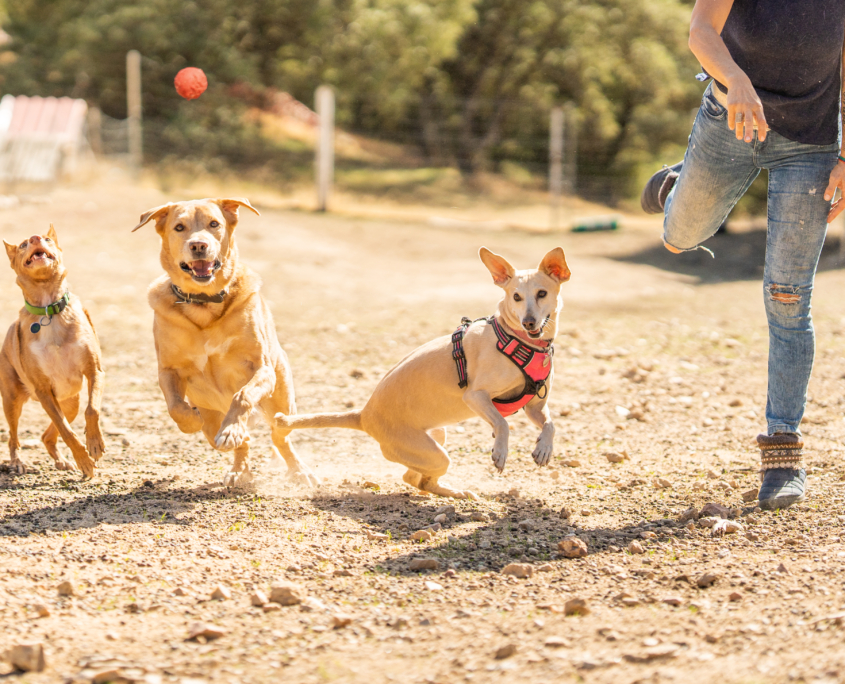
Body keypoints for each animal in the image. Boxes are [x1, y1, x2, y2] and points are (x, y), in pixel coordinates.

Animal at [0, 227, 104, 478]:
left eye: (47, 239)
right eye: (23, 245)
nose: (35, 238)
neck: (50, 309)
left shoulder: (94, 372)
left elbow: (92, 410)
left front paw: (94, 444)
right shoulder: (44, 390)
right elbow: (66, 430)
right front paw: (83, 459)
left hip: (70, 403)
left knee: (47, 436)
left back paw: (62, 461)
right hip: (12, 399)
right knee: (14, 437)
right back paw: (17, 462)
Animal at [132, 196, 316, 486]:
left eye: (214, 224)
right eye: (179, 227)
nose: (198, 245)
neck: (204, 304)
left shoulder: (261, 368)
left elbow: (242, 395)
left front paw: (230, 429)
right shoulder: (168, 370)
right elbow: (175, 406)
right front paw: (191, 421)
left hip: (283, 404)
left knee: (279, 436)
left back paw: (298, 470)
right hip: (214, 420)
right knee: (239, 440)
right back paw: (239, 469)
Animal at [274, 246, 572, 496]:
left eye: (542, 293)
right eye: (516, 296)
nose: (529, 322)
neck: (517, 340)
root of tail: (364, 416)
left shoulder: (534, 406)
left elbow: (550, 424)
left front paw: (544, 449)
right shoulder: (476, 397)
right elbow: (502, 423)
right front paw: (500, 451)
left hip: (435, 438)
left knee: (414, 479)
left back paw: (454, 492)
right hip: (434, 453)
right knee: (420, 479)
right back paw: (454, 492)